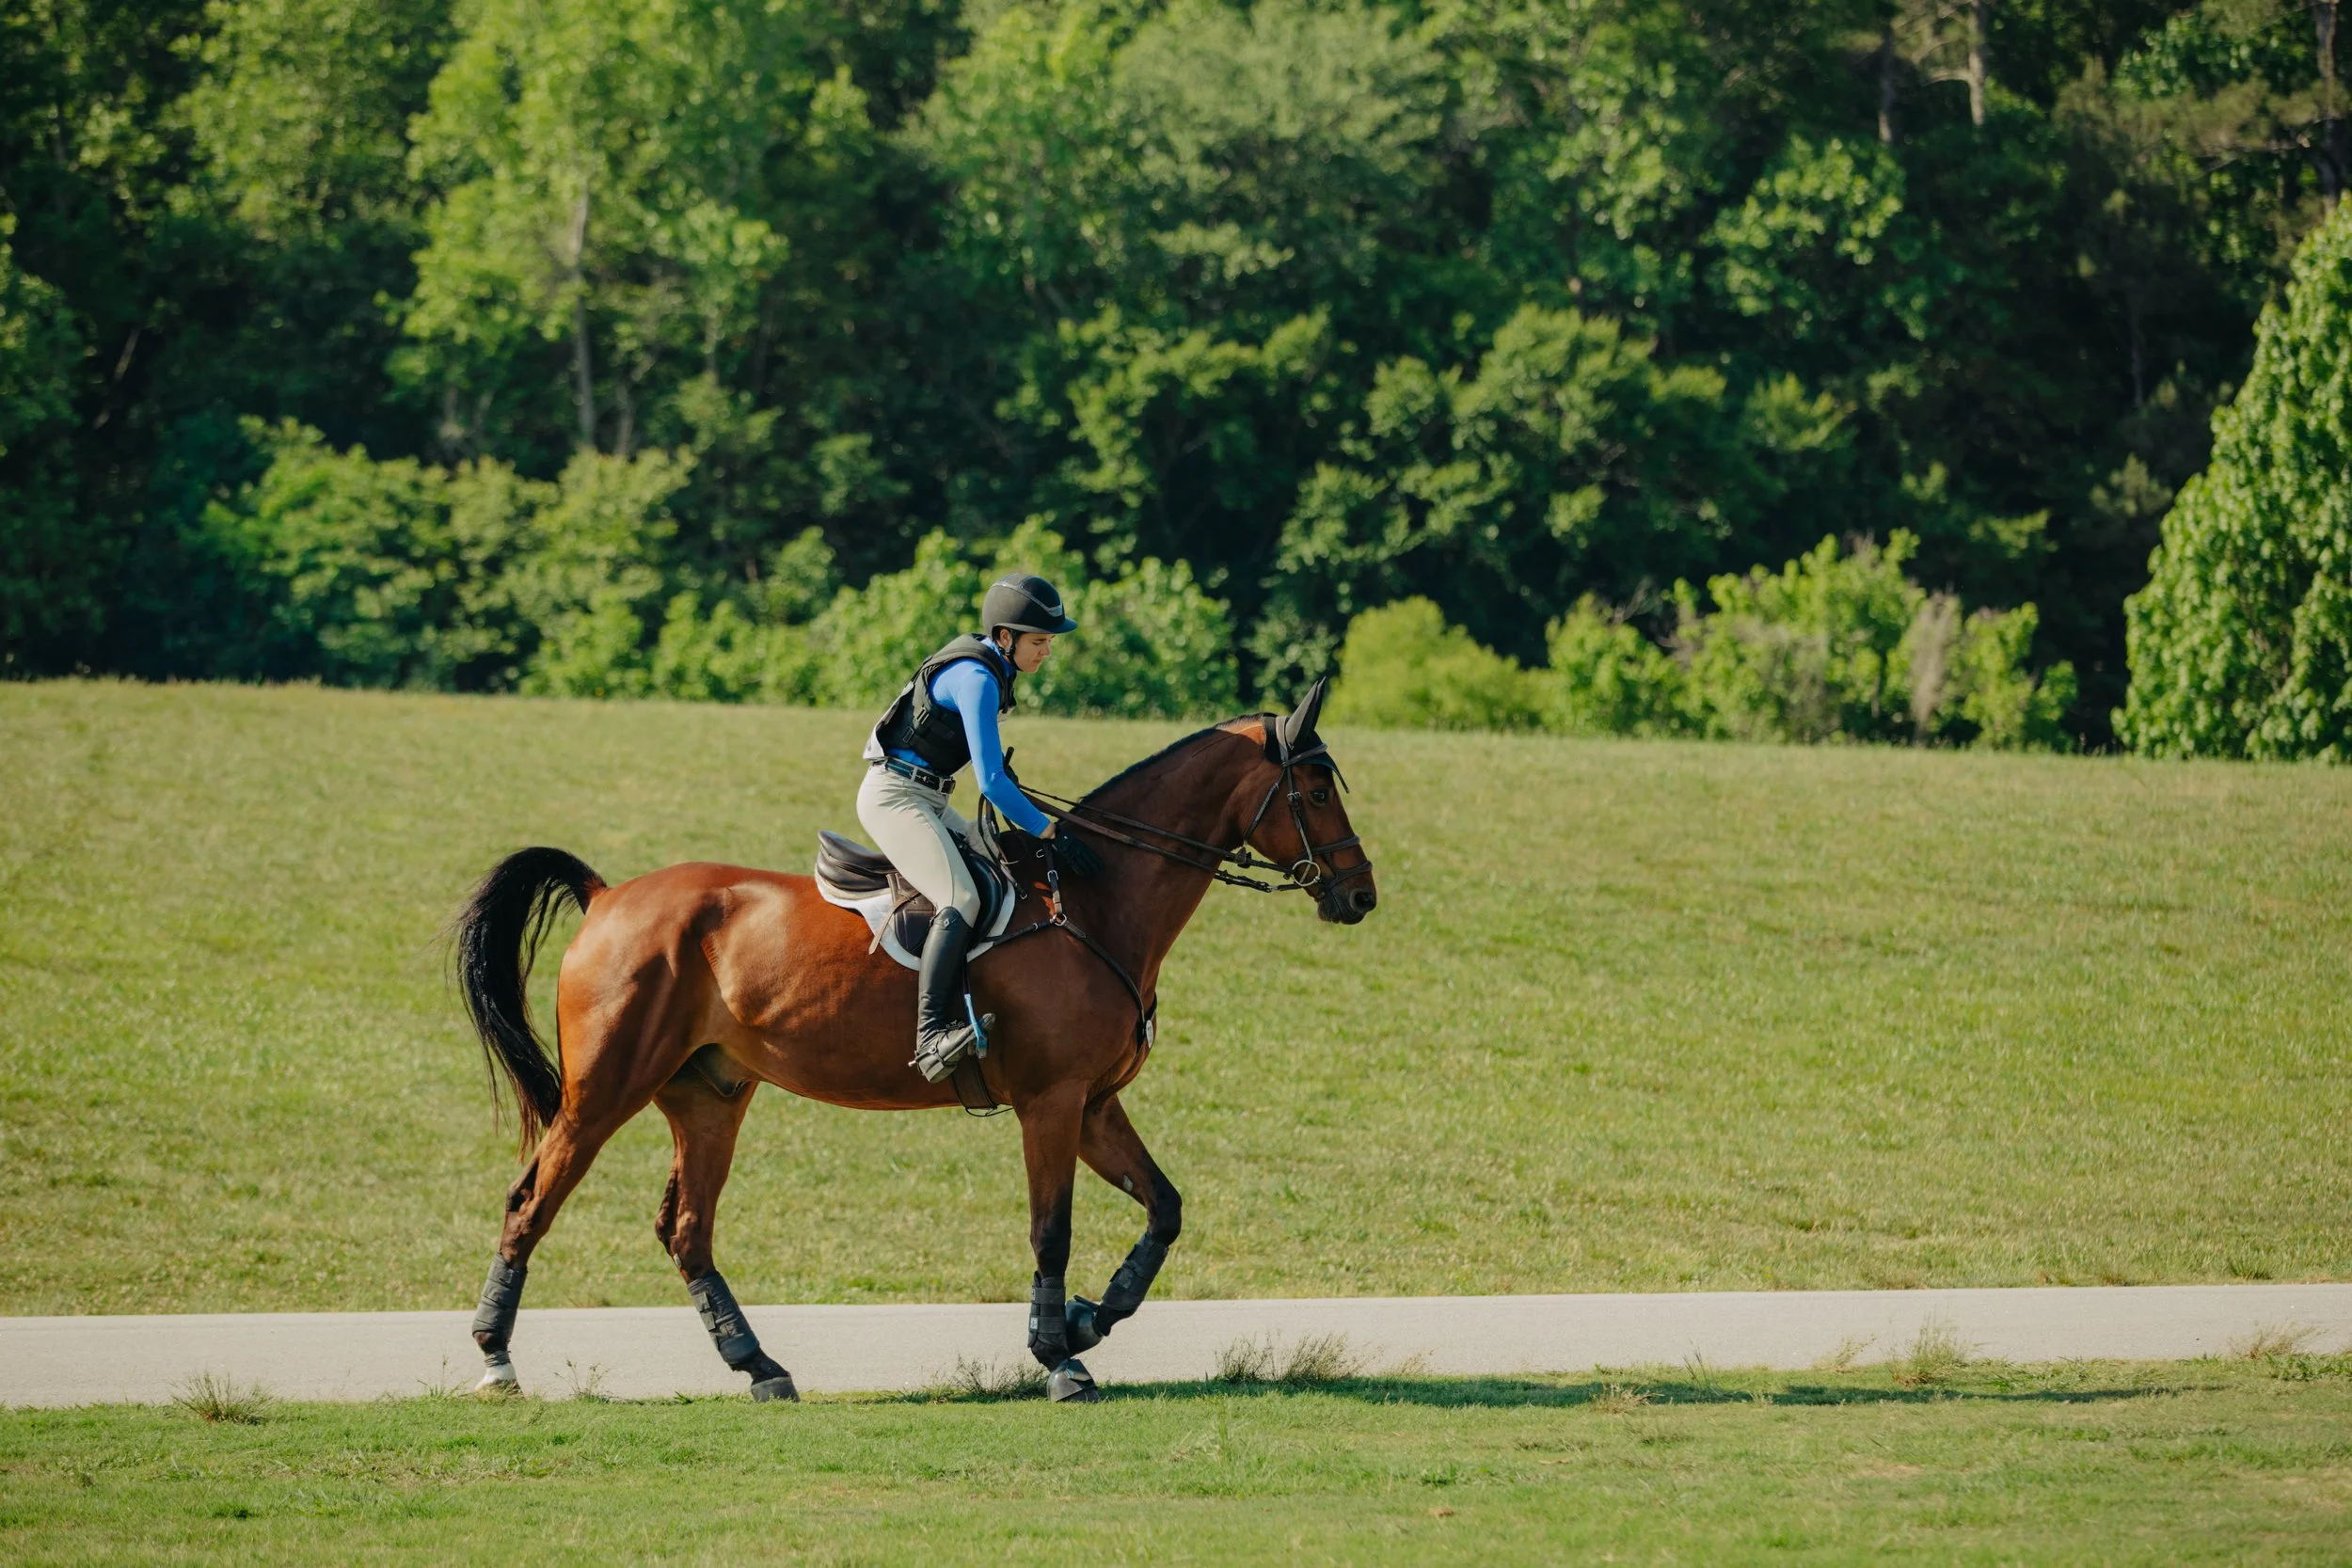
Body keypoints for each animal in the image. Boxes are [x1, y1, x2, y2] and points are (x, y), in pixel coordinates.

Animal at [450, 679, 1376, 1402]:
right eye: (1316, 790)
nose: (1360, 894)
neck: (1097, 901)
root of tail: (608, 896)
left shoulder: (1094, 1104)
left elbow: (1165, 1208)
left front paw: (1091, 1316)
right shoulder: (1051, 1103)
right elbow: (1051, 1230)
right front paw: (1059, 1357)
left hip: (710, 1095)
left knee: (687, 1229)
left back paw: (759, 1366)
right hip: (605, 1091)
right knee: (532, 1202)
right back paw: (496, 1360)